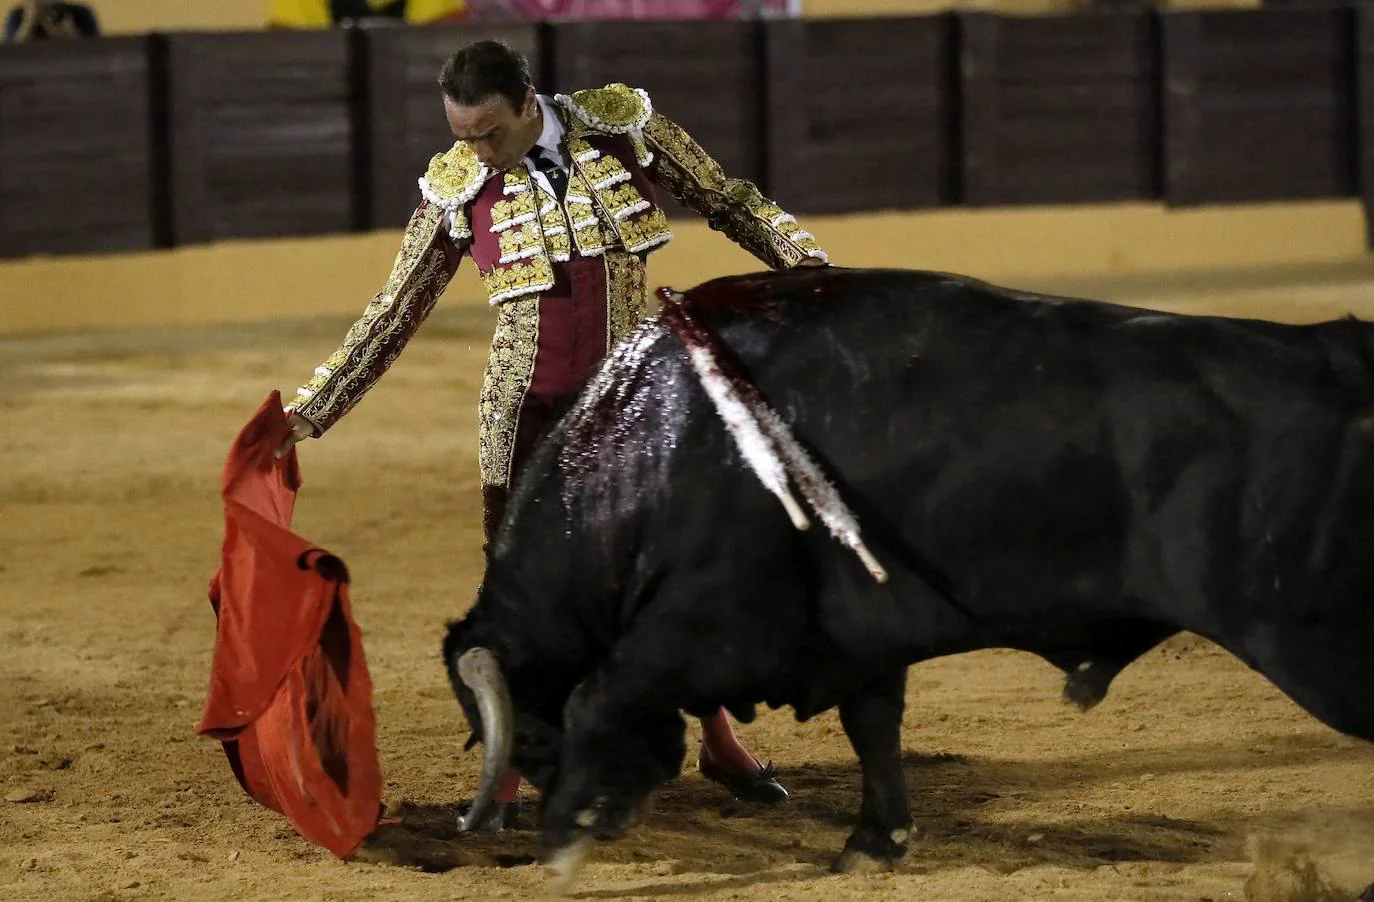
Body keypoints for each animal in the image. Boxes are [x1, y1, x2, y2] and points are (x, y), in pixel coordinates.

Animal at [439, 265, 1374, 896]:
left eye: (527, 742)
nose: (599, 808)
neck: (648, 460)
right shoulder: (862, 642)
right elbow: (874, 727)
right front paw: (875, 842)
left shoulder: (700, 623)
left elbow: (601, 695)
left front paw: (562, 849)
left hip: (1316, 641)